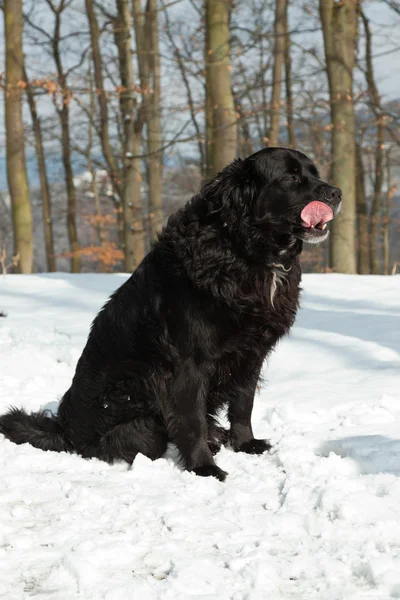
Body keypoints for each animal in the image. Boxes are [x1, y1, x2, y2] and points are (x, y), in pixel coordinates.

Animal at [0, 148, 340, 480]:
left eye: (314, 173)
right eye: (291, 177)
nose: (336, 193)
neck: (244, 252)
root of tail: (66, 431)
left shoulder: (251, 354)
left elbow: (244, 404)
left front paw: (245, 444)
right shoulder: (189, 364)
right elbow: (192, 421)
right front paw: (204, 468)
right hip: (139, 420)